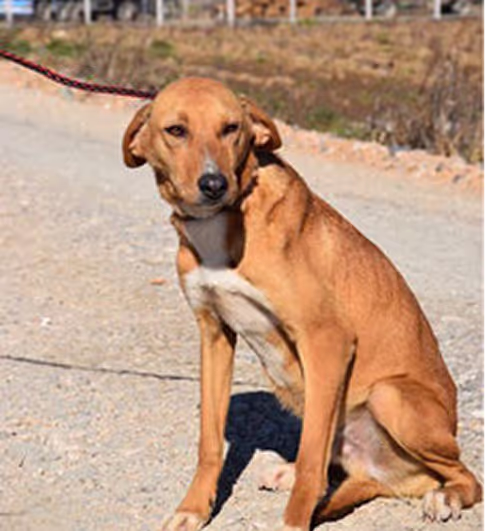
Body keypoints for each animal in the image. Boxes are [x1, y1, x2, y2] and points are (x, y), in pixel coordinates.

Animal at [122, 77, 481, 531]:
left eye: (231, 128)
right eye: (176, 130)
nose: (214, 184)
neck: (225, 223)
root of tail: (389, 475)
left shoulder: (327, 341)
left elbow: (312, 461)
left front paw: (294, 520)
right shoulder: (214, 333)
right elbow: (210, 442)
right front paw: (194, 508)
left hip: (389, 397)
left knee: (466, 477)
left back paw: (444, 497)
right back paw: (289, 472)